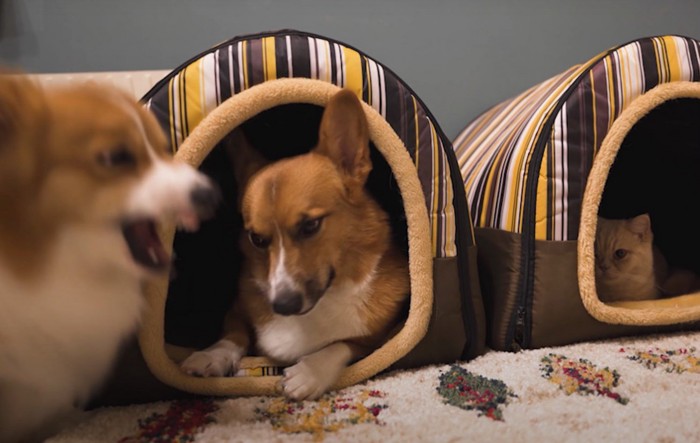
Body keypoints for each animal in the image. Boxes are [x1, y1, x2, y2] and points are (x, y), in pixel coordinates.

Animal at [180, 88, 410, 400]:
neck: (327, 298)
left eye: (310, 225)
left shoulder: (377, 341)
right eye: (257, 239)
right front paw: (211, 356)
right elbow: (233, 335)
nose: (283, 305)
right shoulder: (237, 309)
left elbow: (342, 345)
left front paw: (309, 373)